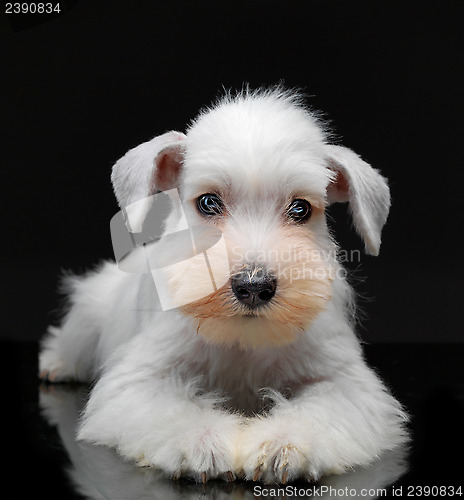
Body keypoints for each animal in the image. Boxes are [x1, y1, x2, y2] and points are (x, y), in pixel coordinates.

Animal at [40, 87, 410, 484]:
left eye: (300, 209)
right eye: (208, 202)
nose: (253, 286)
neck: (242, 343)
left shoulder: (344, 382)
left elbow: (320, 411)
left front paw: (283, 443)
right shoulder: (141, 379)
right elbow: (172, 409)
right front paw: (202, 442)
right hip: (88, 313)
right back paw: (56, 363)